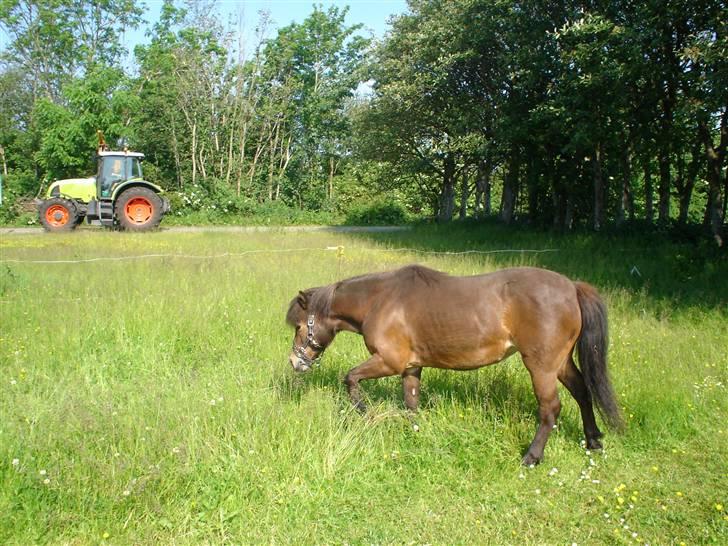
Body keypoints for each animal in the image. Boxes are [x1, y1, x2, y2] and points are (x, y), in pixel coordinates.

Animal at [288, 264, 624, 464]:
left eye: (300, 326)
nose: (295, 362)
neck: (380, 301)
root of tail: (572, 287)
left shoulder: (389, 362)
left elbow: (351, 378)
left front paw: (364, 412)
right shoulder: (411, 367)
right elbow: (411, 403)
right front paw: (416, 433)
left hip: (541, 365)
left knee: (551, 408)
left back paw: (532, 456)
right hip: (561, 362)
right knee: (583, 393)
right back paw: (593, 440)